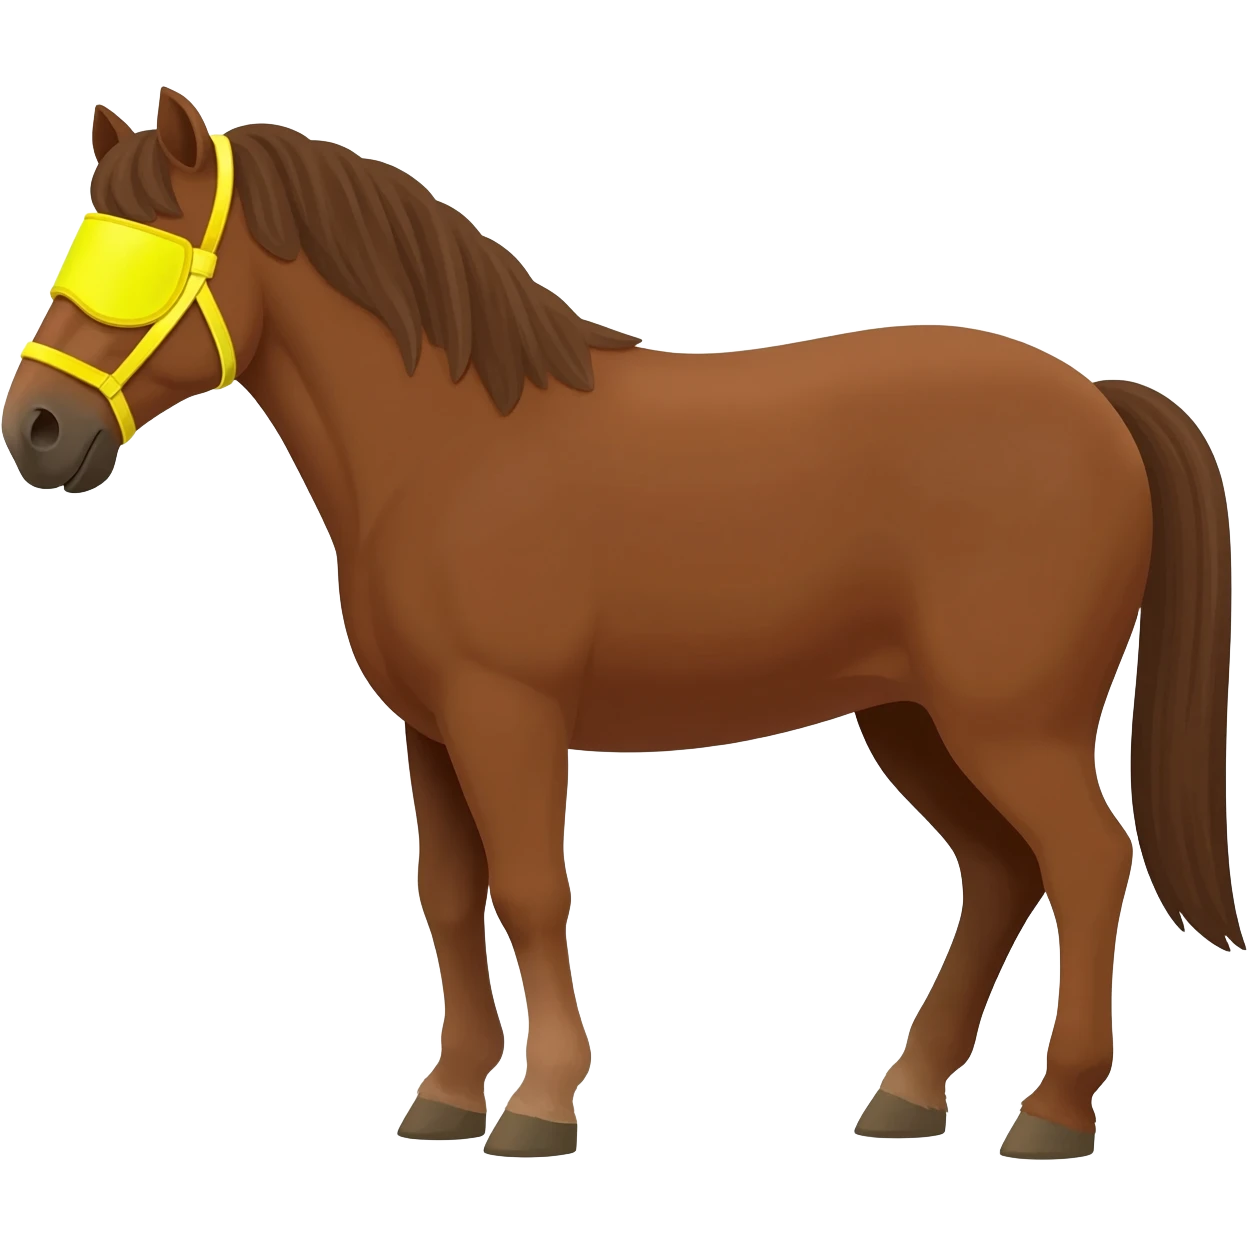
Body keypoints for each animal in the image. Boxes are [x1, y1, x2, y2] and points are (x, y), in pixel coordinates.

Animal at [3, 87, 1238, 1161]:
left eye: (145, 259)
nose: (39, 428)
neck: (449, 446)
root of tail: (1097, 401)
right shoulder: (433, 729)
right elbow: (447, 895)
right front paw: (447, 1095)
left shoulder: (507, 714)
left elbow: (529, 889)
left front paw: (541, 1106)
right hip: (915, 720)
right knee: (998, 873)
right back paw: (906, 1094)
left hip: (1009, 724)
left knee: (1085, 860)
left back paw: (1052, 1111)